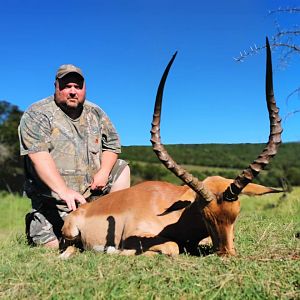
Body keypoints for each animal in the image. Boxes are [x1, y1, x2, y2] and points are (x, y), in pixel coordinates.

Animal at [60, 37, 282, 258]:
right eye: (205, 215)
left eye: (236, 213)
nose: (226, 254)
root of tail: (82, 210)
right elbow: (173, 247)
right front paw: (115, 250)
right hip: (71, 234)